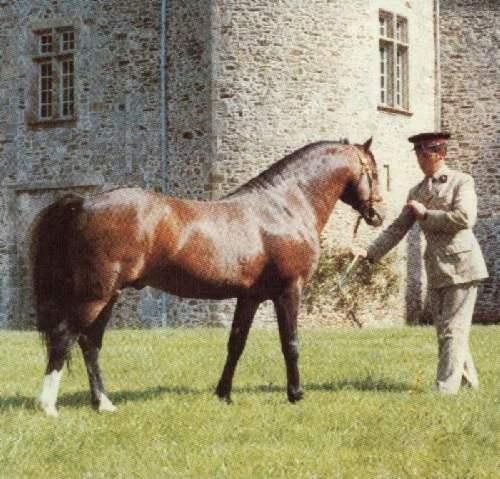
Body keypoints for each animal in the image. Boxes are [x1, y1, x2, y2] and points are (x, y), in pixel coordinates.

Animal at [31, 139, 382, 416]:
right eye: (375, 173)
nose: (377, 214)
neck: (284, 206)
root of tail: (84, 202)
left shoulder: (250, 297)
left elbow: (236, 343)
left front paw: (223, 394)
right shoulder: (289, 291)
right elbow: (290, 343)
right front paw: (295, 395)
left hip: (109, 295)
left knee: (89, 343)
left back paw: (103, 403)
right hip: (96, 294)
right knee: (64, 336)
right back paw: (48, 406)